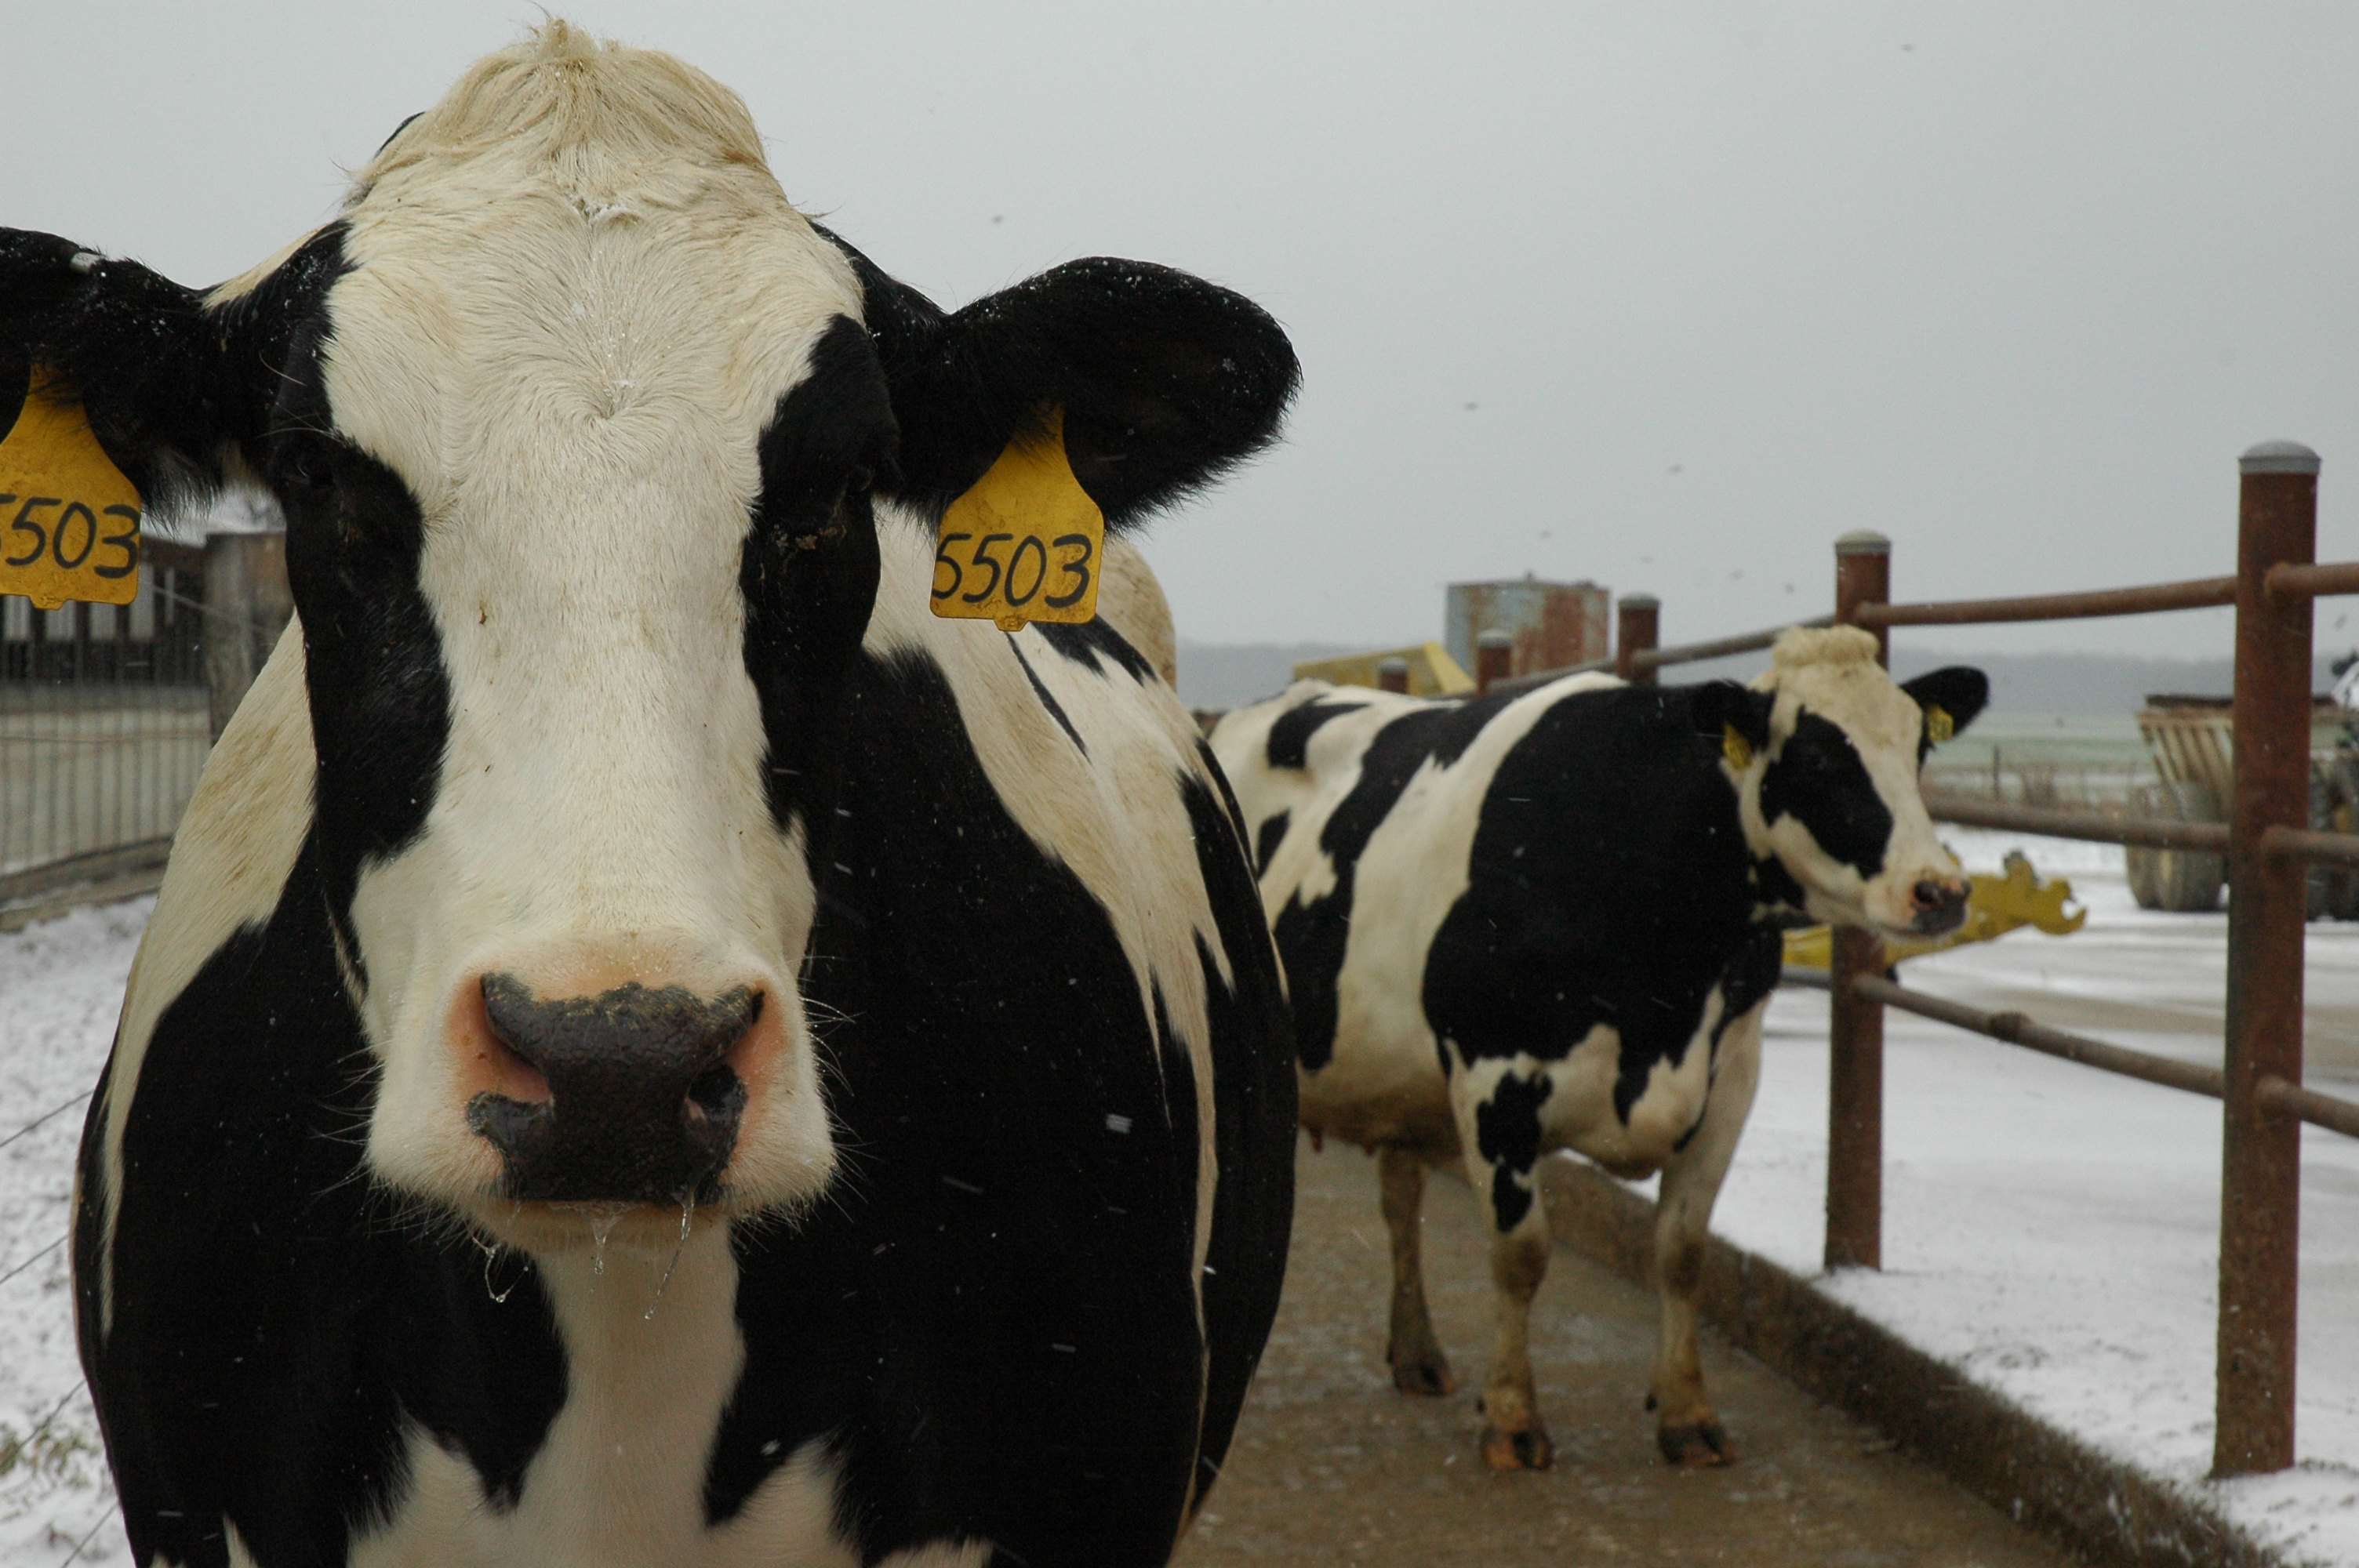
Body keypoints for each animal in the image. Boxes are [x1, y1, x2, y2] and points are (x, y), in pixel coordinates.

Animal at [1210, 628, 1986, 1471]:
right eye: (1815, 757)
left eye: (1918, 747)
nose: (1940, 890)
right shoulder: (1492, 1072)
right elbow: (1520, 1253)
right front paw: (1513, 1420)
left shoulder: (1731, 1075)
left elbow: (1682, 1252)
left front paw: (1687, 1413)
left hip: (1399, 1084)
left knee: (1399, 1200)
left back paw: (1417, 1355)